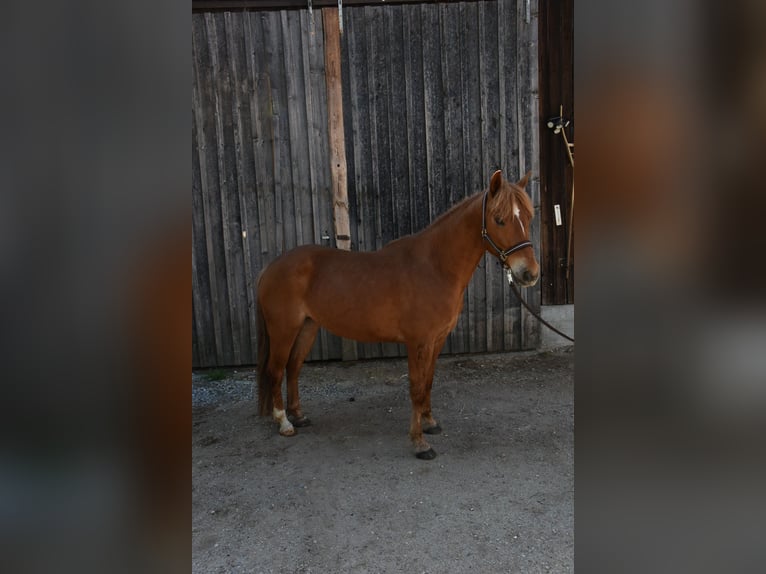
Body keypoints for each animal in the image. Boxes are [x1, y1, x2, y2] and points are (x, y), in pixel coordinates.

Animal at [256, 170, 539, 459]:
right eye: (499, 220)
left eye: (528, 218)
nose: (529, 273)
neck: (434, 267)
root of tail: (271, 267)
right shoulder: (418, 342)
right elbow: (416, 387)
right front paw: (419, 442)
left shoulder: (437, 340)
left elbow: (428, 381)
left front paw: (430, 423)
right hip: (283, 330)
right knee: (276, 370)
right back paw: (285, 423)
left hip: (308, 327)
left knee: (293, 367)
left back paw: (299, 416)